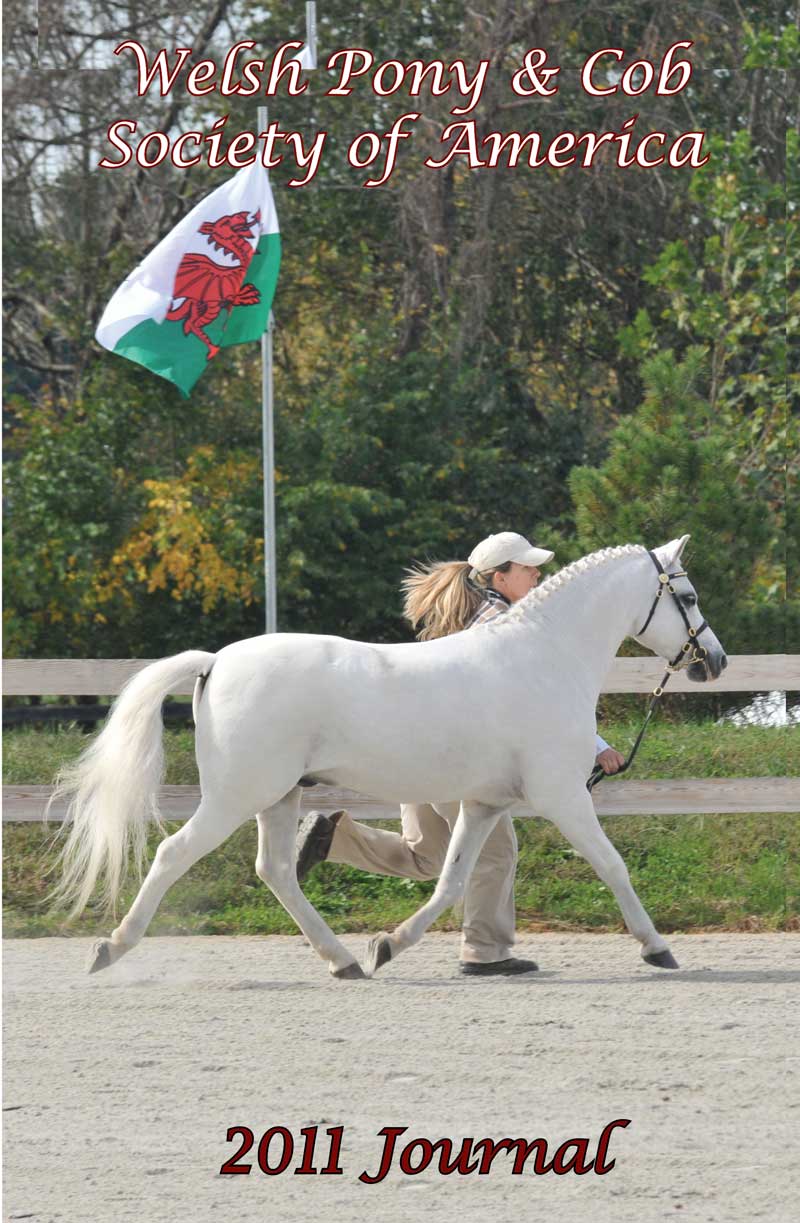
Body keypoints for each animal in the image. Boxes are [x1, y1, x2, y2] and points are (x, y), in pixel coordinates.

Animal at [52, 535, 726, 979]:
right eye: (690, 595)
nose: (714, 662)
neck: (544, 656)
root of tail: (215, 661)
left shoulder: (484, 805)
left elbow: (452, 881)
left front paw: (389, 945)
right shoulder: (562, 795)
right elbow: (613, 866)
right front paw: (658, 949)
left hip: (279, 796)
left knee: (277, 870)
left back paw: (346, 960)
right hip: (237, 797)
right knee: (174, 854)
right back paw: (110, 948)